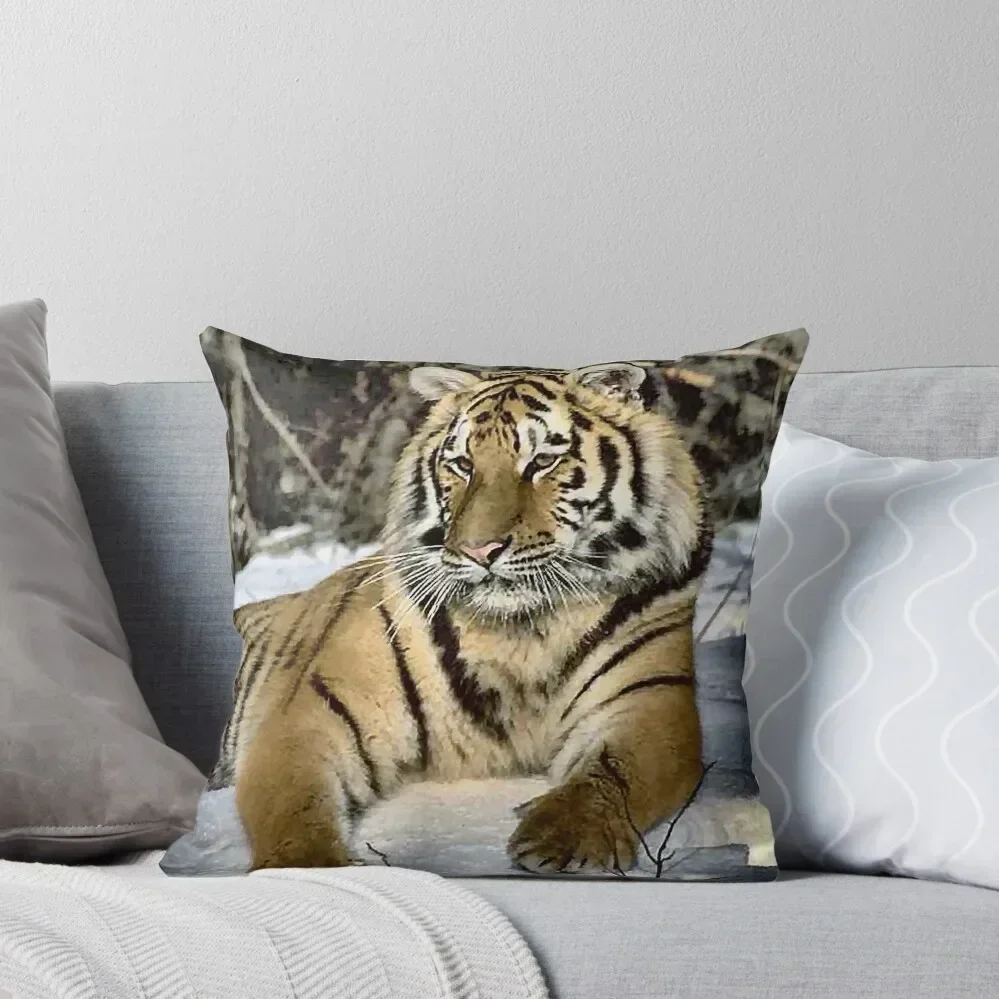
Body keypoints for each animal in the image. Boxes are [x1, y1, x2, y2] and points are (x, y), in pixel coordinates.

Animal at [227, 360, 714, 874]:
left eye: (543, 461)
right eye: (462, 464)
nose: (480, 550)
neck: (521, 630)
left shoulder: (650, 702)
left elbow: (614, 775)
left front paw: (562, 839)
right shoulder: (311, 714)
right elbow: (294, 810)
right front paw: (314, 868)